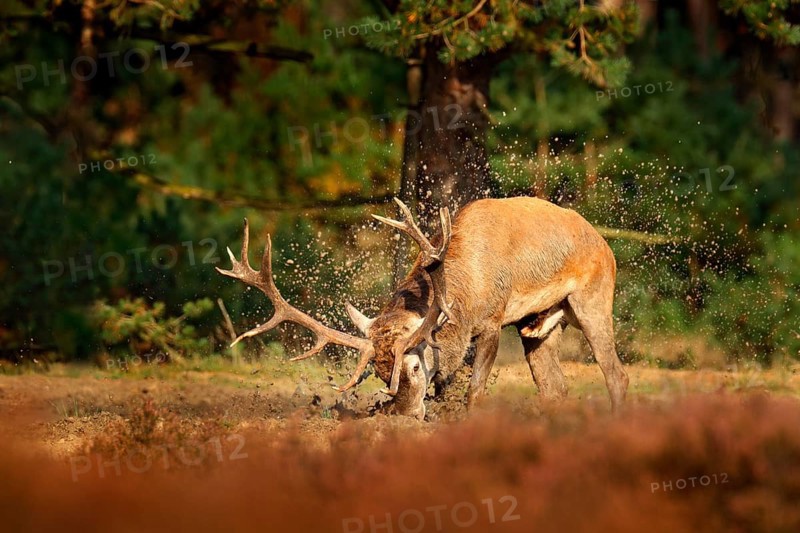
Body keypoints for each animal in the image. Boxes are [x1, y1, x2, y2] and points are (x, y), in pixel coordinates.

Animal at [217, 196, 629, 419]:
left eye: (414, 366)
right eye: (379, 373)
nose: (402, 413)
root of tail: (604, 244)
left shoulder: (493, 319)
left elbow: (474, 390)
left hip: (593, 298)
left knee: (616, 373)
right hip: (537, 324)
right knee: (554, 385)